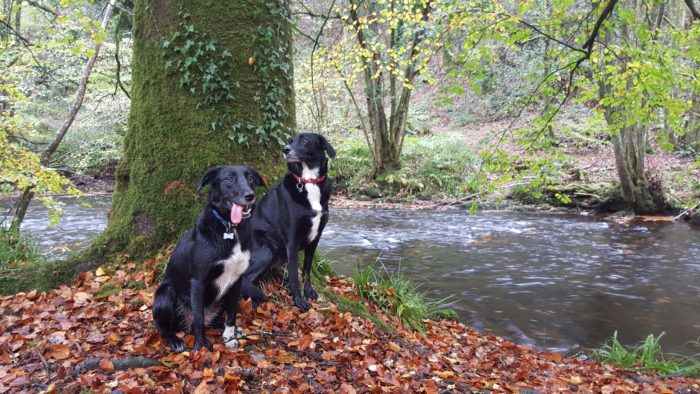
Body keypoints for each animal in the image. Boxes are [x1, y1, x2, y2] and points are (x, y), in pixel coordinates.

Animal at [153, 165, 266, 352]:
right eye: (229, 179)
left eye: (250, 179)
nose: (250, 196)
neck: (229, 229)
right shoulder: (199, 281)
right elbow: (199, 320)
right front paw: (200, 349)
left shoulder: (236, 281)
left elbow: (232, 313)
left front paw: (229, 337)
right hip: (165, 292)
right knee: (166, 328)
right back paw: (175, 340)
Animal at [242, 132, 334, 310]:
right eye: (290, 140)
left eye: (304, 140)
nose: (285, 149)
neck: (308, 182)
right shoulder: (292, 240)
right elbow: (293, 275)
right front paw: (298, 300)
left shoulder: (315, 239)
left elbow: (306, 269)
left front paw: (308, 290)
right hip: (267, 251)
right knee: (243, 278)